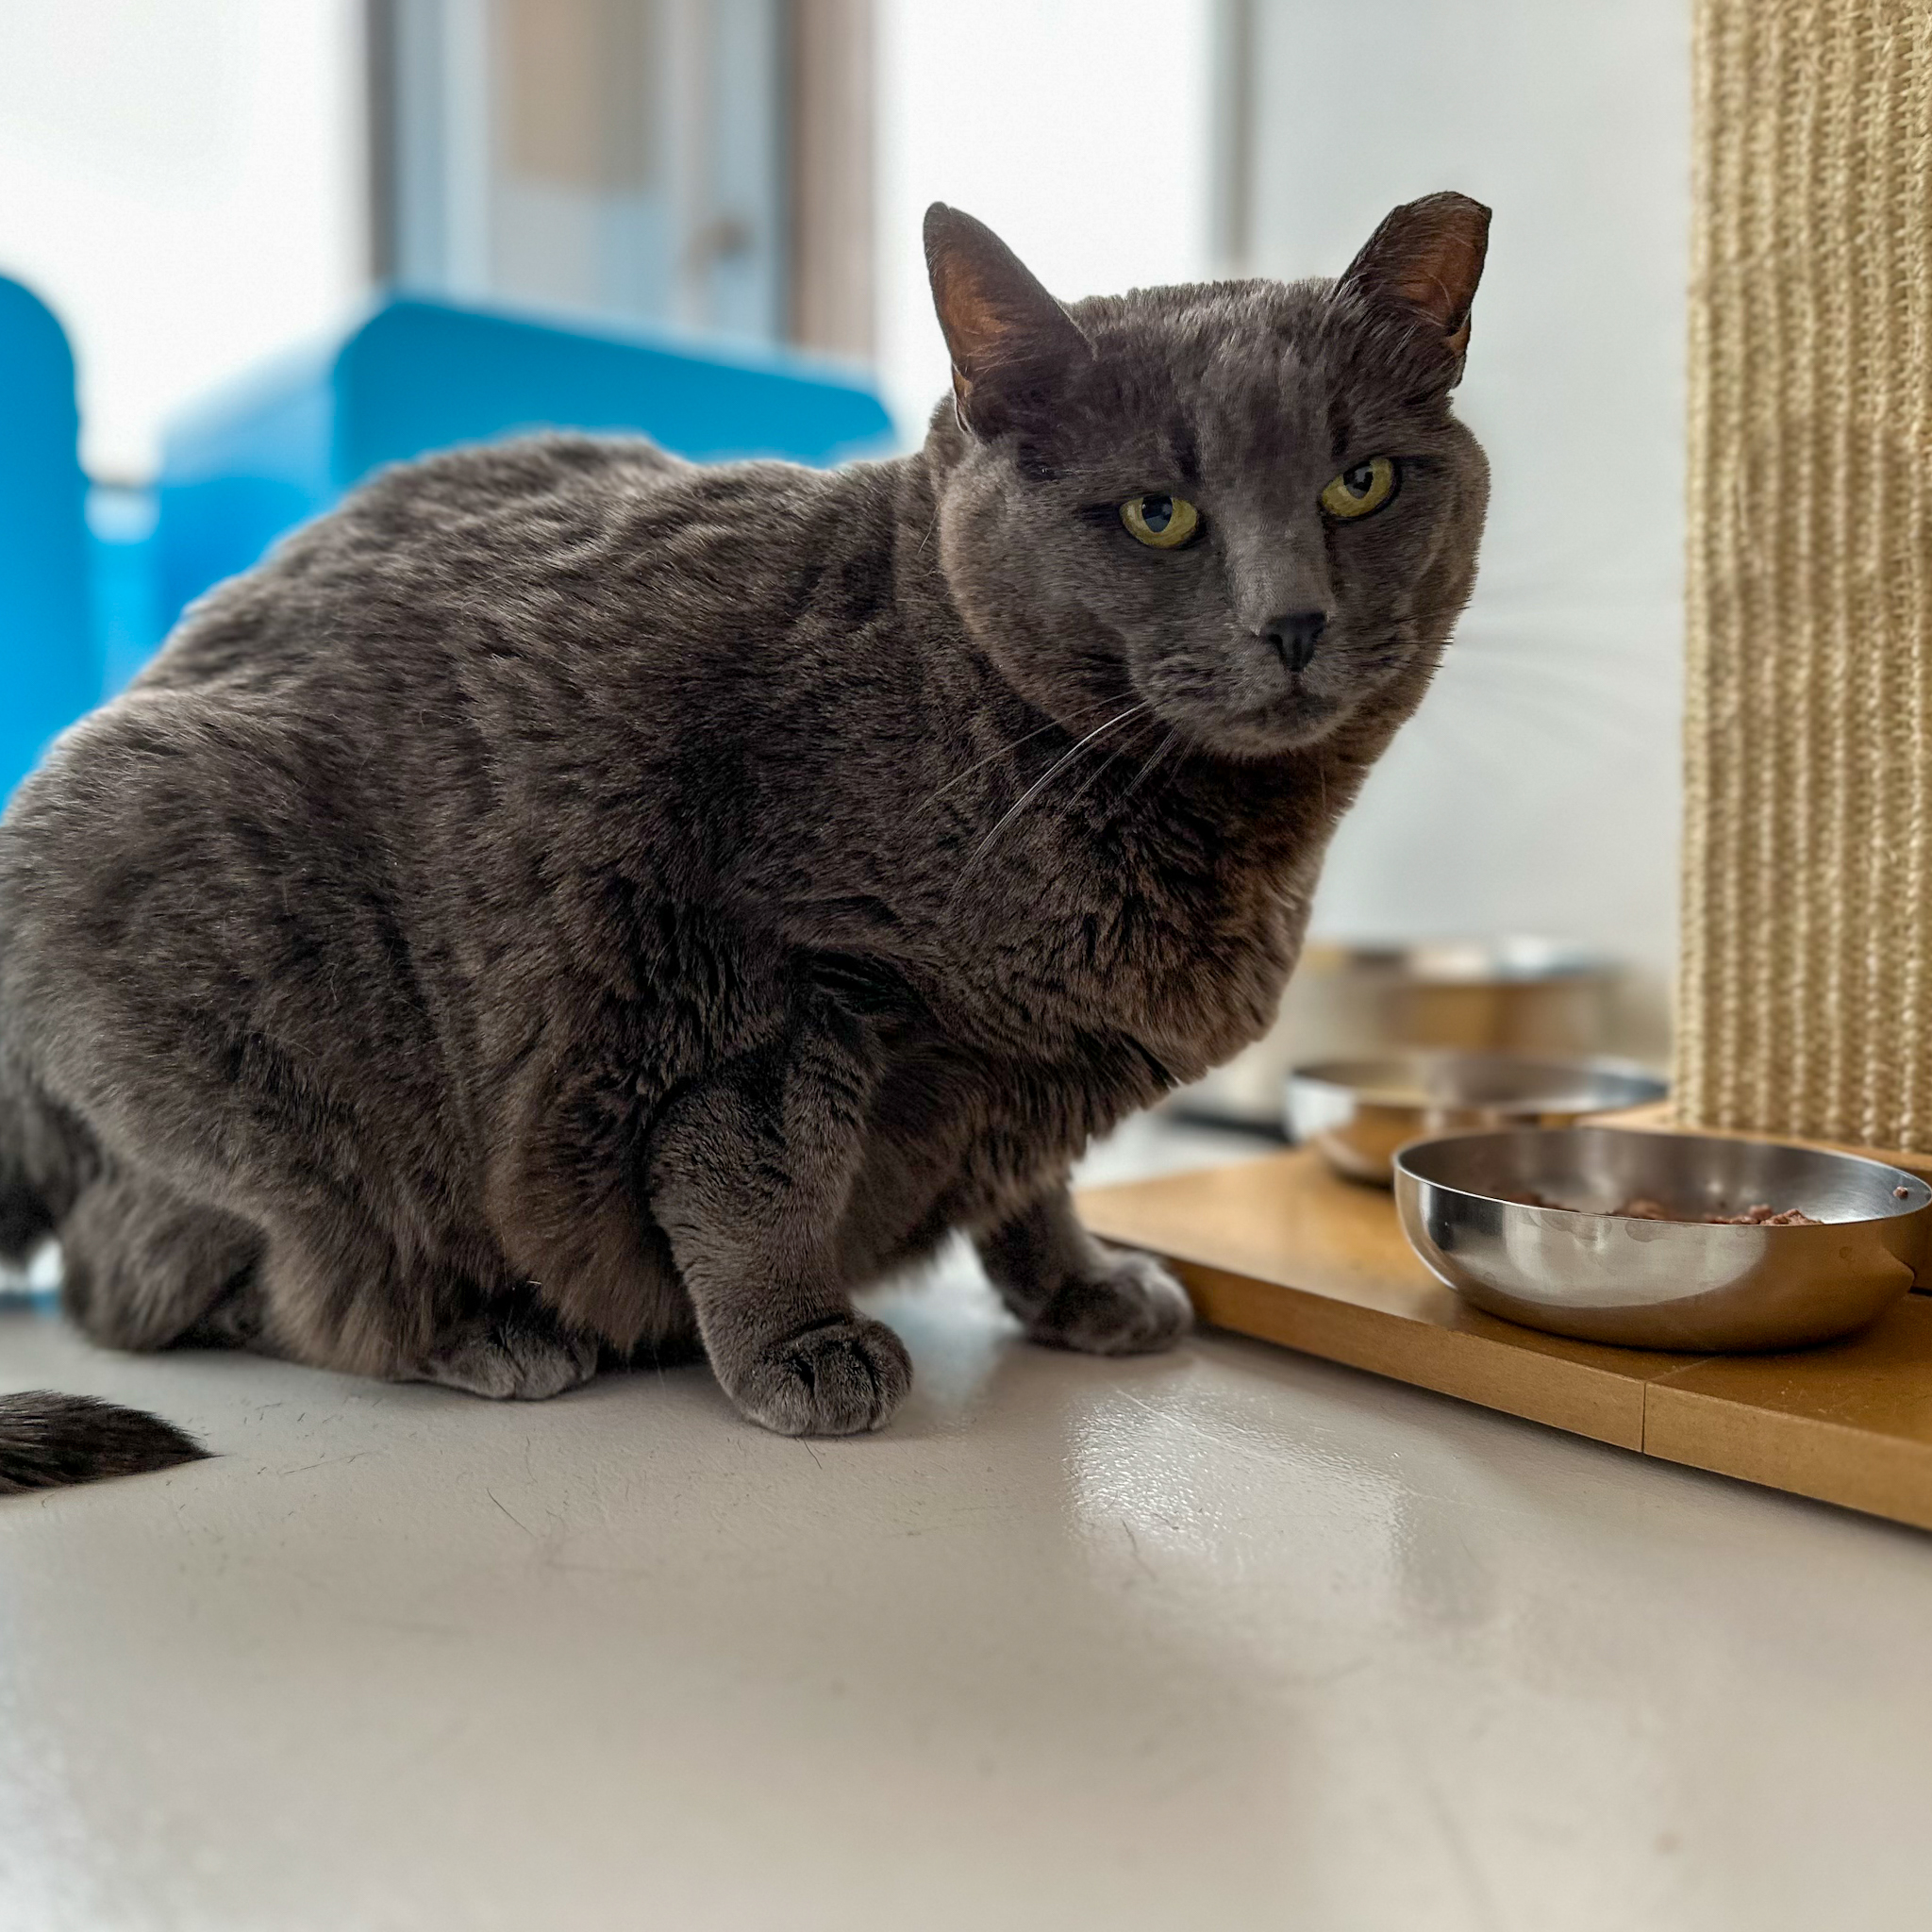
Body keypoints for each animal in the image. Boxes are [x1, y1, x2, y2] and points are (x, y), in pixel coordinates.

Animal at [0, 195, 1491, 1483]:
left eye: (1360, 485)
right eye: (1158, 512)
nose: (1291, 619)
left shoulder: (1033, 1056)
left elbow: (1035, 1177)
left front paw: (1079, 1286)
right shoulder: (770, 976)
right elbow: (760, 1175)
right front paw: (799, 1343)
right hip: (217, 967)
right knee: (170, 1280)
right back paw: (483, 1326)